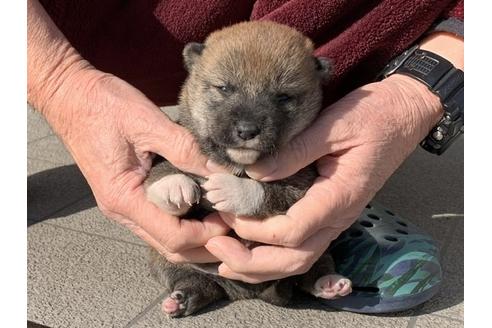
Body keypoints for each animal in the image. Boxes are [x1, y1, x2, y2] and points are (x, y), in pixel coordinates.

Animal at [144, 21, 352, 318]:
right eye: (224, 88)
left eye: (283, 96)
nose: (247, 130)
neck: (239, 163)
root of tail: (241, 292)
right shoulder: (170, 149)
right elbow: (160, 170)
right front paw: (175, 187)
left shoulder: (302, 185)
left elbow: (269, 192)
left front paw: (232, 190)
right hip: (166, 259)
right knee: (194, 282)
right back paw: (181, 298)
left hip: (319, 251)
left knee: (311, 274)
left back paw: (329, 283)